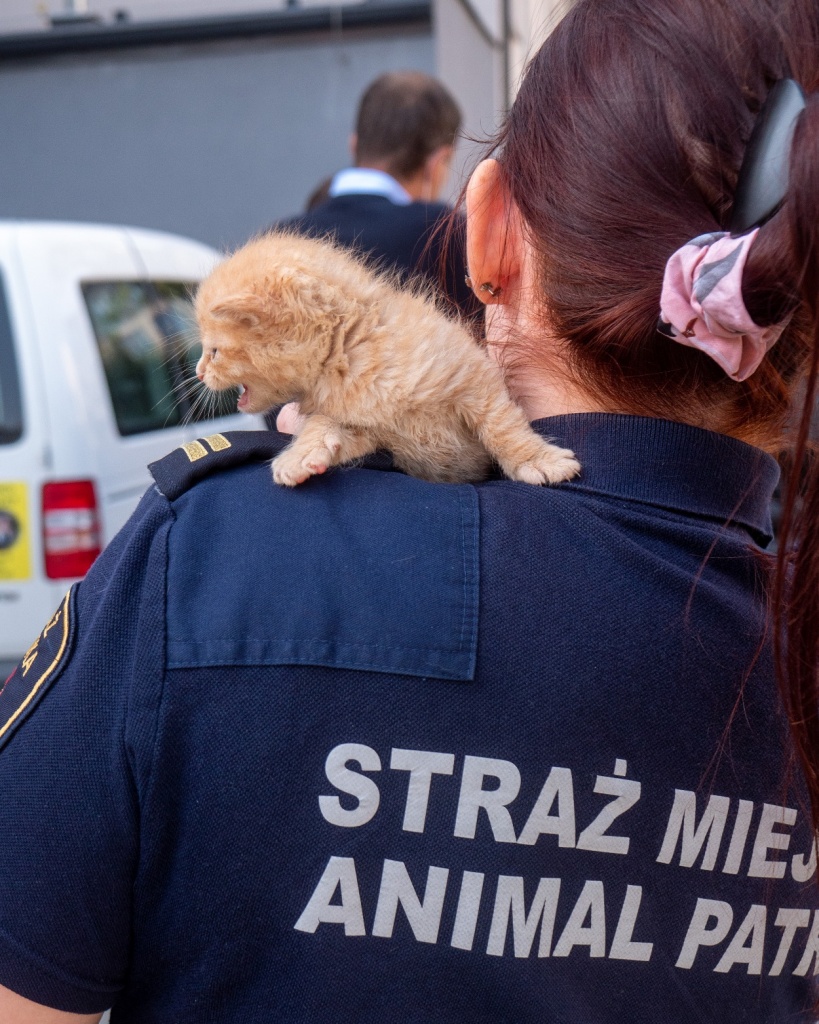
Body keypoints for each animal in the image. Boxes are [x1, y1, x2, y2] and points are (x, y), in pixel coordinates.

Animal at [194, 232, 577, 487]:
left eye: (214, 352)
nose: (198, 373)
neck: (353, 353)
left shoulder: (473, 380)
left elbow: (503, 427)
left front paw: (537, 460)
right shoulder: (370, 432)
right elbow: (323, 425)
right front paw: (302, 455)